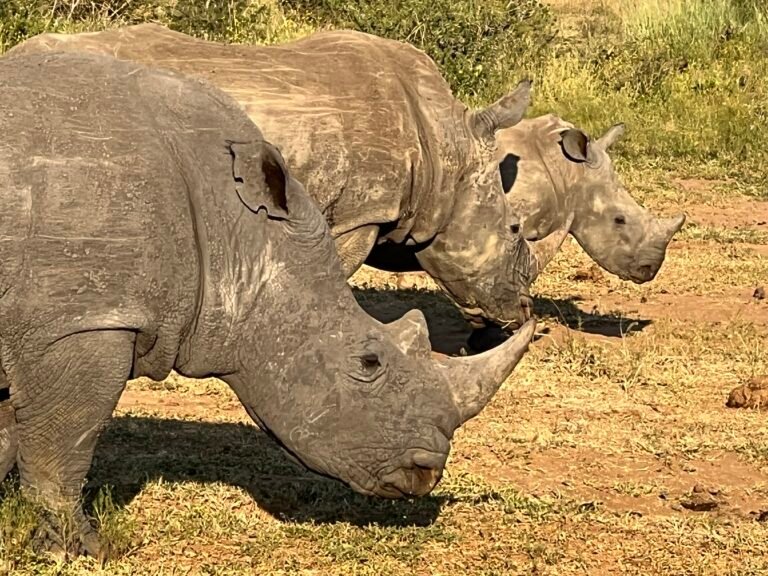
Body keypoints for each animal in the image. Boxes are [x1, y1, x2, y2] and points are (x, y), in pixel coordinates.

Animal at [0, 51, 535, 558]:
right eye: (368, 361)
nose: (426, 471)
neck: (236, 230)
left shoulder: (39, 324)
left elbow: (12, 432)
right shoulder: (84, 320)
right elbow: (64, 445)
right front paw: (78, 549)